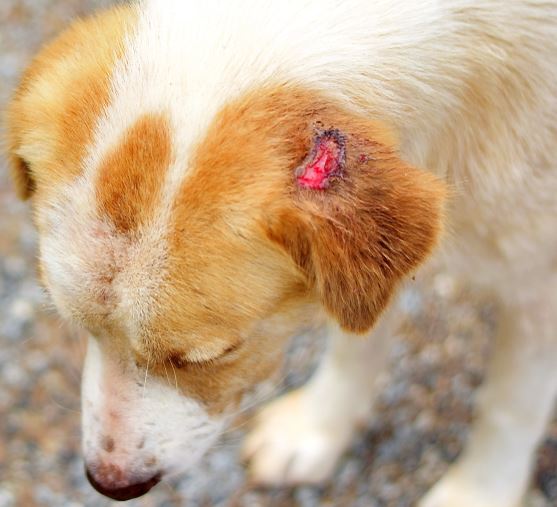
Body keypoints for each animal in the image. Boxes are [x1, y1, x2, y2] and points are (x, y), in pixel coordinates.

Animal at [5, 0, 556, 506]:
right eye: (76, 325)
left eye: (213, 355)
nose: (110, 483)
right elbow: (357, 346)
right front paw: (317, 430)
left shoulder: (539, 292)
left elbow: (510, 408)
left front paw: (478, 493)